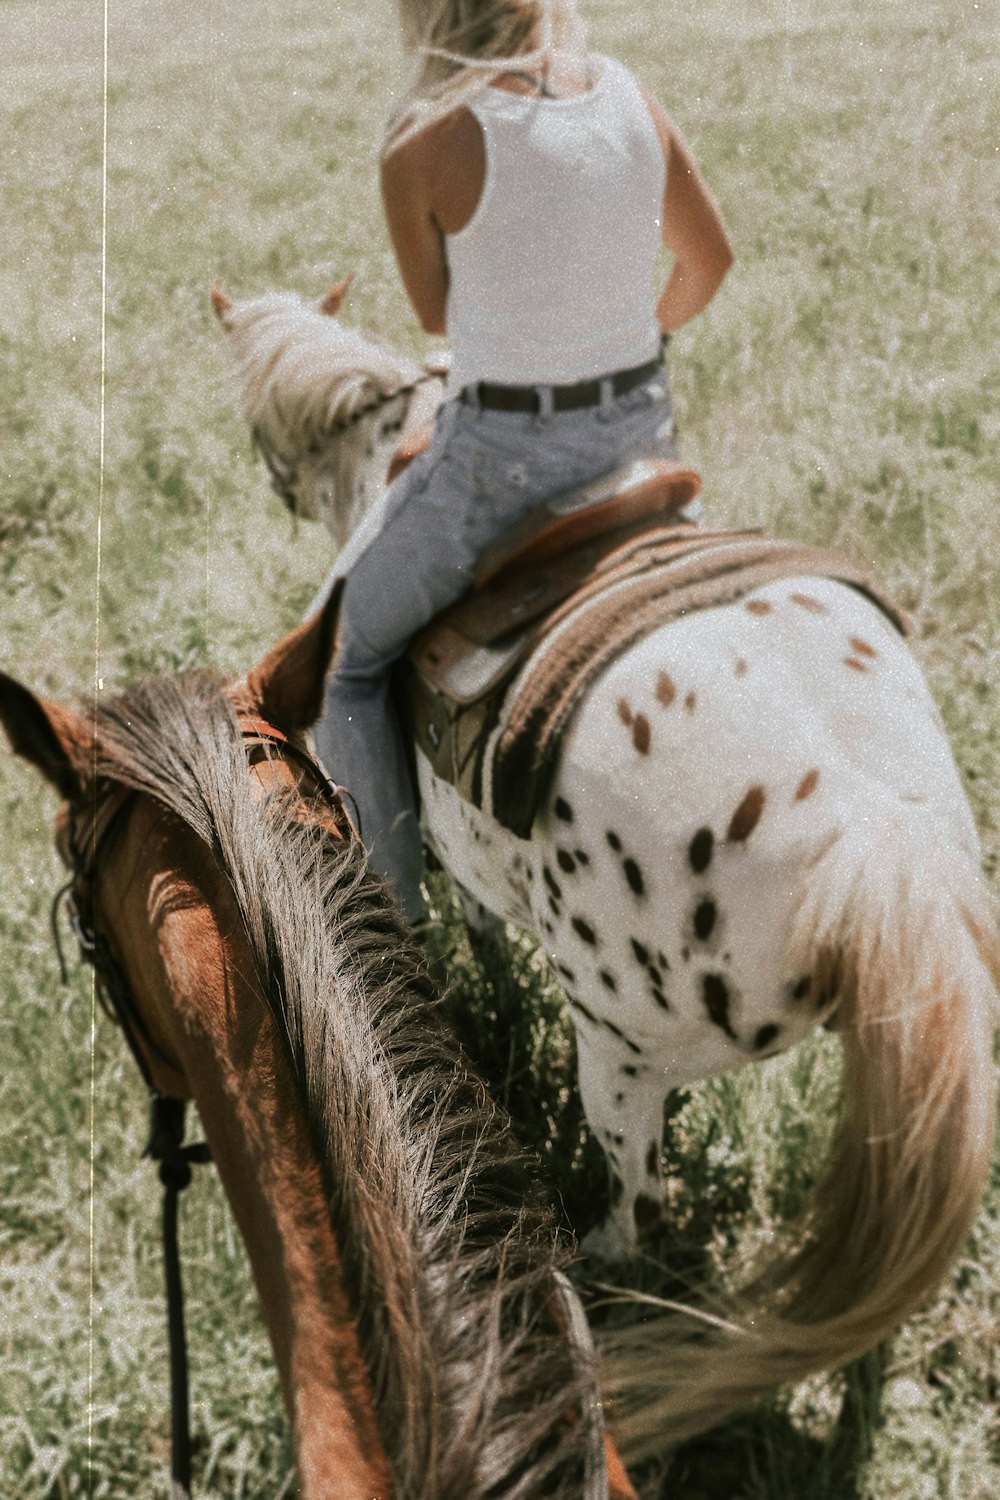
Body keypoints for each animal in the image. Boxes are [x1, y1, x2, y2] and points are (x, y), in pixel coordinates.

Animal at [212, 286, 1000, 1458]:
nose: (276, 485)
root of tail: (871, 833)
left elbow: (473, 926)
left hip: (617, 1058)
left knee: (637, 1198)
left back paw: (596, 1263)